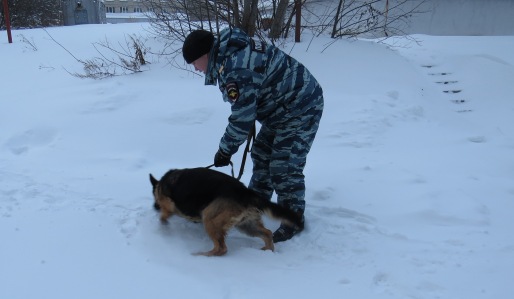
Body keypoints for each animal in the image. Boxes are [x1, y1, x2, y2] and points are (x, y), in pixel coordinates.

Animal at [148, 168, 302, 256]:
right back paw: (267, 250)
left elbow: (164, 216)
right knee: (268, 233)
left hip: (209, 219)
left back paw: (202, 254)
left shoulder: (167, 205)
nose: (154, 207)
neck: (161, 184)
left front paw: (163, 227)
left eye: (155, 199)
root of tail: (246, 193)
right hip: (246, 225)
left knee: (221, 248)